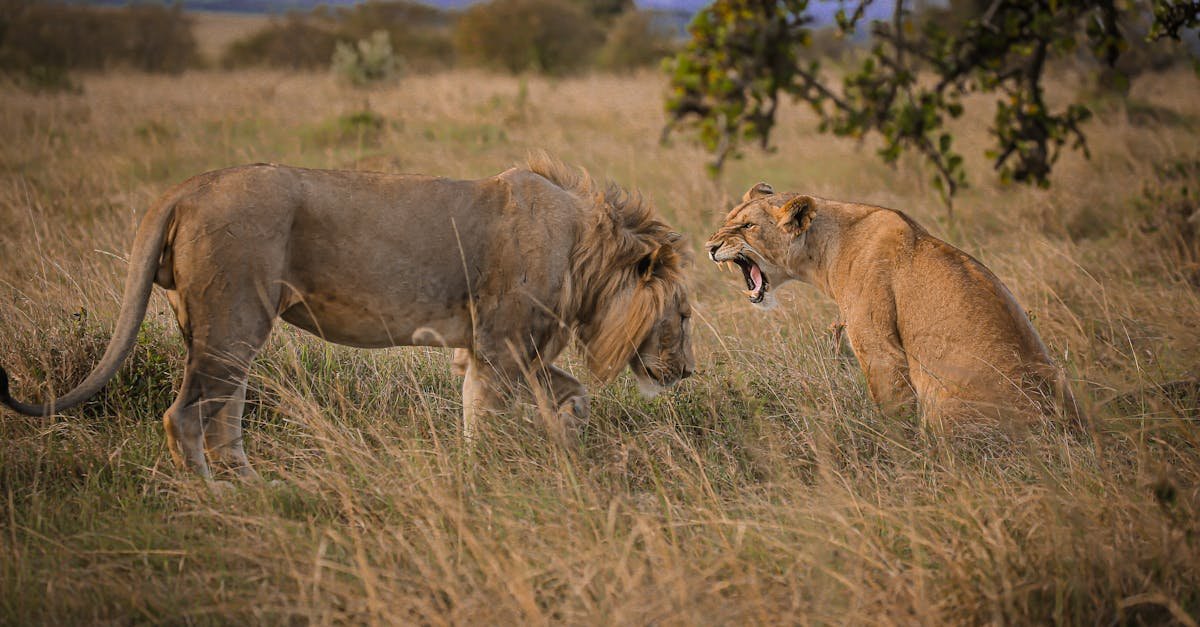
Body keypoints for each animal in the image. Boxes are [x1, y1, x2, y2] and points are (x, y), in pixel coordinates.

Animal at [0, 156, 696, 478]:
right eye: (686, 316)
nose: (688, 374)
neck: (586, 250)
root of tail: (186, 188)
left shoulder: (480, 350)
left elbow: (502, 407)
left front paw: (528, 457)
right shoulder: (503, 344)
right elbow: (537, 403)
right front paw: (513, 467)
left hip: (221, 330)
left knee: (224, 414)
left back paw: (256, 488)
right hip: (233, 319)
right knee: (185, 416)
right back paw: (219, 497)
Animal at [705, 181, 1084, 425]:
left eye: (747, 226)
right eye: (727, 222)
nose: (710, 247)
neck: (826, 249)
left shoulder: (880, 350)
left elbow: (893, 412)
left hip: (942, 399)